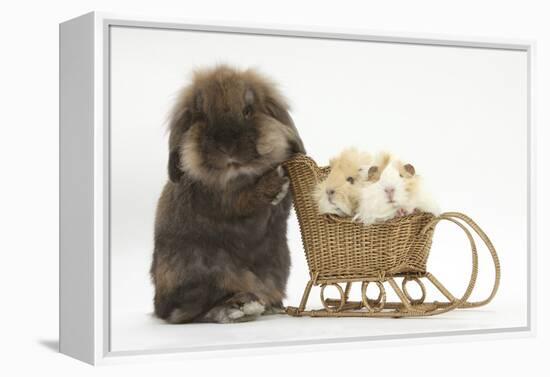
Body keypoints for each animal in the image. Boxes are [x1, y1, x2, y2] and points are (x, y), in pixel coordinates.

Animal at [151, 63, 306, 322]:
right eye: (202, 116)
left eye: (248, 110)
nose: (227, 145)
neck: (239, 172)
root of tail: (157, 305)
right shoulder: (220, 200)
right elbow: (243, 199)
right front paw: (274, 184)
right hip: (202, 273)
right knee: (187, 312)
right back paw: (240, 306)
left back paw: (267, 306)